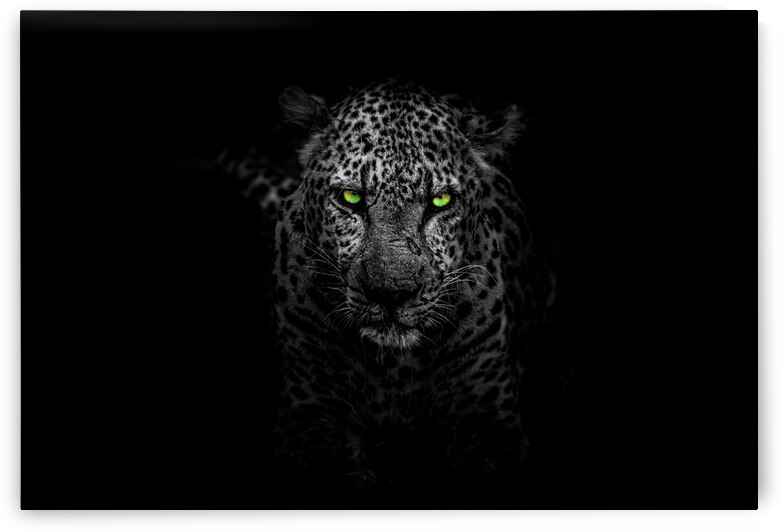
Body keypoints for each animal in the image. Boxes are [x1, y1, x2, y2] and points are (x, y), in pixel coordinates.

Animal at [223, 80, 555, 508]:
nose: (391, 293)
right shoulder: (308, 413)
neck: (396, 368)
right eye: (350, 198)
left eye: (440, 201)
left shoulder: (490, 422)